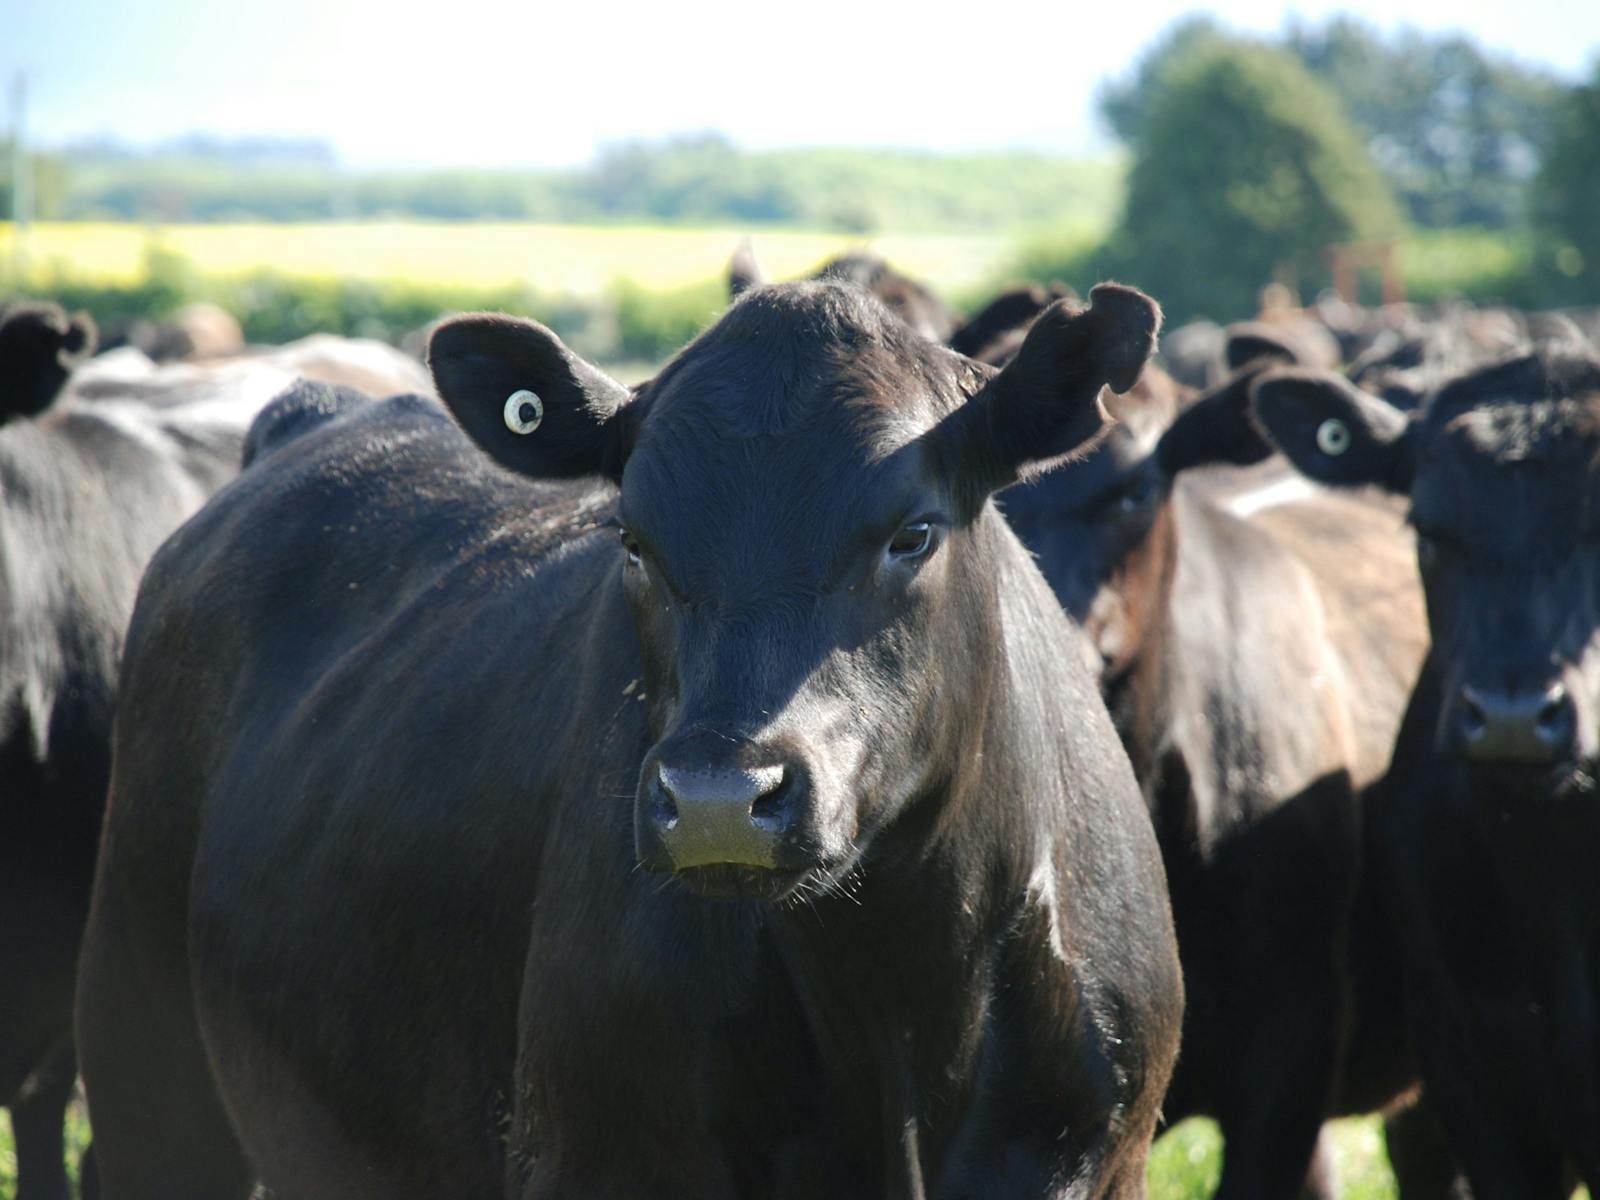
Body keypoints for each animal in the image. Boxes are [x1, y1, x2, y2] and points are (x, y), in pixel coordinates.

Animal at [81, 280, 1184, 1196]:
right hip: (145, 1058)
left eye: (911, 533)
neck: (903, 1003)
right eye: (634, 540)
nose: (717, 799)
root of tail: (313, 414)